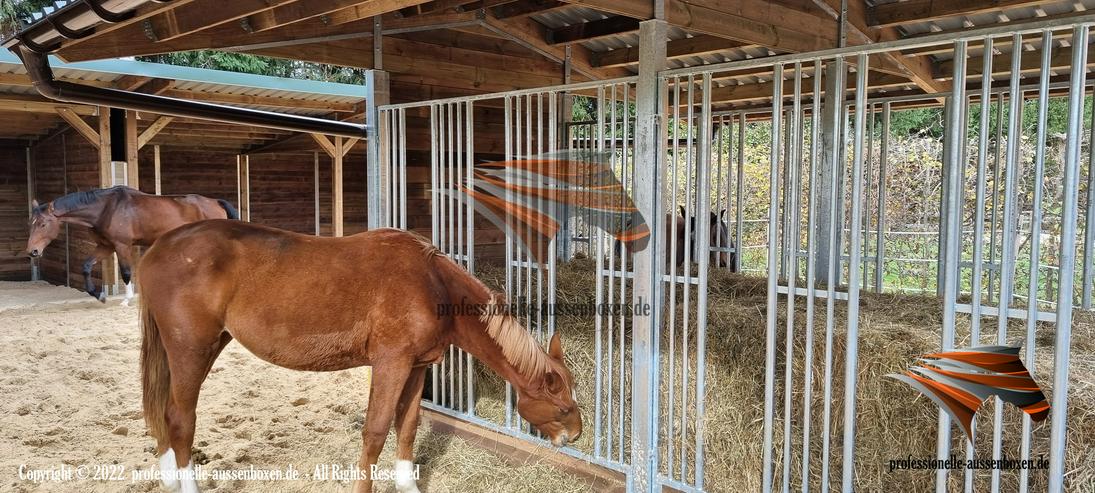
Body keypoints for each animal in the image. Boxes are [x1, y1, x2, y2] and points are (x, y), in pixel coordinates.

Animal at [25, 187, 237, 306]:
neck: (106, 208)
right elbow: (86, 266)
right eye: (31, 222)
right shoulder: (105, 246)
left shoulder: (122, 245)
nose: (32, 251)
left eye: (42, 224)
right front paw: (99, 295)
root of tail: (216, 202)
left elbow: (126, 272)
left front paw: (127, 300)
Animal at [136, 220, 582, 493]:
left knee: (164, 414)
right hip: (191, 350)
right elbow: (376, 431)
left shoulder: (416, 367)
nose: (575, 436)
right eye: (561, 408)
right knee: (180, 419)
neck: (431, 284)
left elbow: (408, 426)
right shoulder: (391, 364)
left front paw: (407, 484)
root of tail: (158, 247)